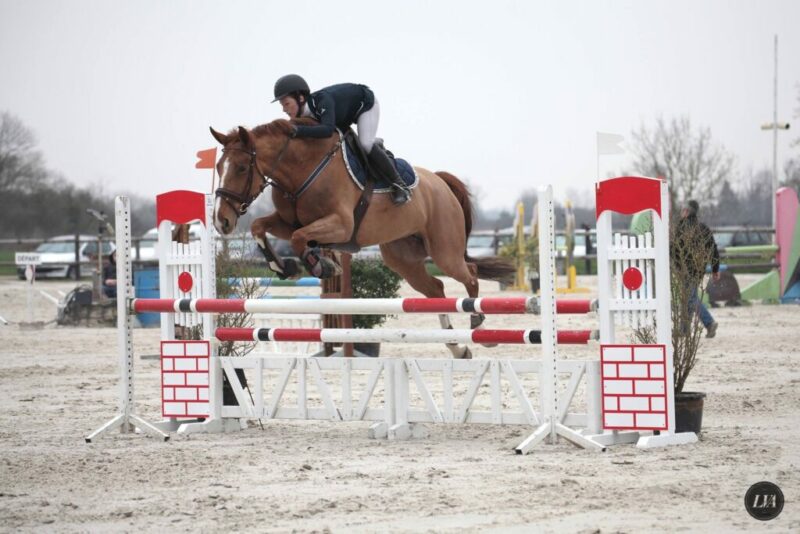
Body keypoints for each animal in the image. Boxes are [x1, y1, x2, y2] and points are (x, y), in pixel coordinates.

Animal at [209, 119, 516, 358]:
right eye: (219, 167)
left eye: (241, 168)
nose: (221, 221)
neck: (301, 168)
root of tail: (440, 181)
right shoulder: (288, 222)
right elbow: (260, 226)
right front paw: (284, 266)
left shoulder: (341, 225)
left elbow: (299, 238)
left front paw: (323, 265)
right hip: (402, 259)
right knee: (437, 289)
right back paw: (457, 347)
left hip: (444, 250)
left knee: (470, 274)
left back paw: (479, 327)